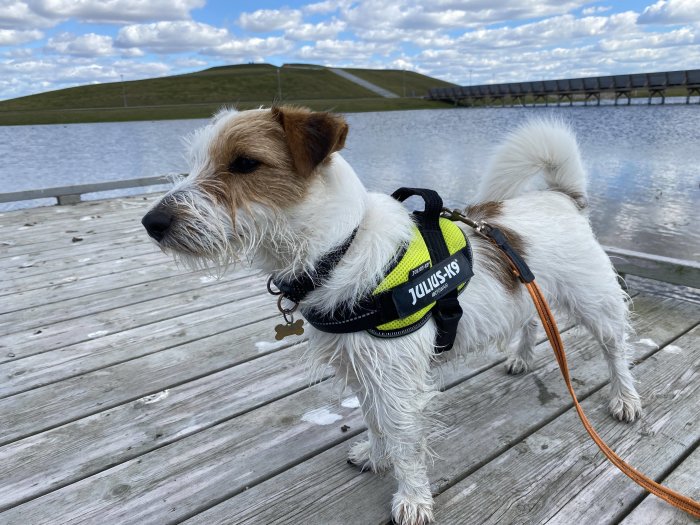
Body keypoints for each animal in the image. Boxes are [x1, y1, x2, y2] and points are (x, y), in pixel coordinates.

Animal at [141, 106, 640, 524]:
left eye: (245, 163)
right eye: (196, 162)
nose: (152, 223)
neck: (339, 250)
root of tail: (561, 197)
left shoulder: (395, 378)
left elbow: (405, 440)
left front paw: (412, 499)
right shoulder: (364, 367)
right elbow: (374, 419)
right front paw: (376, 456)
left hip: (595, 301)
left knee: (615, 347)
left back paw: (626, 399)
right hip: (528, 290)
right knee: (532, 317)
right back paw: (521, 356)